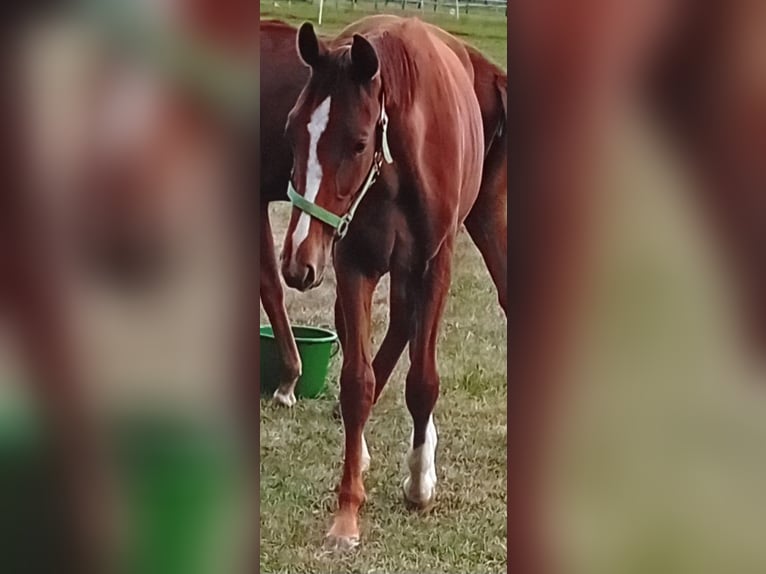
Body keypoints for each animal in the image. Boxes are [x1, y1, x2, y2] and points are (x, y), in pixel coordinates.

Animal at [279, 18, 491, 549]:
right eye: (292, 130)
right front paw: (346, 514)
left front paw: (419, 484)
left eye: (358, 143)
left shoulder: (434, 267)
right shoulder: (354, 265)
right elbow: (356, 383)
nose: (295, 262)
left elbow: (423, 381)